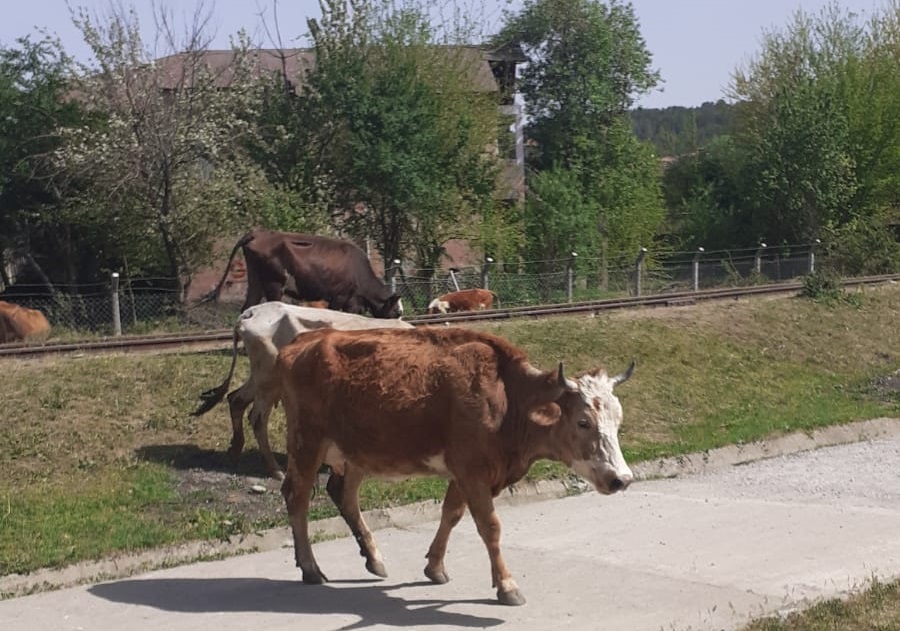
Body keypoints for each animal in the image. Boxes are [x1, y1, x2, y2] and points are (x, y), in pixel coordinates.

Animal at [195, 302, 414, 478]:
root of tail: (251, 312)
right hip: (267, 381)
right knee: (257, 419)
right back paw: (275, 469)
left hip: (261, 379)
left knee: (236, 399)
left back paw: (235, 450)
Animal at [274, 328, 632, 604]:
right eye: (583, 422)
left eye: (618, 419)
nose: (622, 479)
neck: (506, 399)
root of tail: (305, 339)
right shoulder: (473, 471)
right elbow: (490, 526)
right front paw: (507, 585)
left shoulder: (464, 471)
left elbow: (451, 514)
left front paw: (435, 567)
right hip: (306, 442)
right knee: (297, 497)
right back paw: (310, 568)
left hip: (355, 452)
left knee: (344, 495)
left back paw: (374, 559)